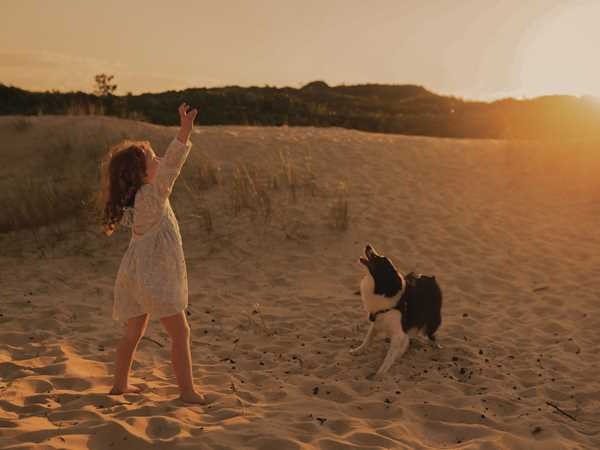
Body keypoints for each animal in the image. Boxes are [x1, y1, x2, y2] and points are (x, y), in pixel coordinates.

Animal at [350, 244, 442, 378]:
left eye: (379, 259)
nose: (368, 245)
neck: (382, 288)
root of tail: (431, 278)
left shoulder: (398, 333)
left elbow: (389, 357)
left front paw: (379, 373)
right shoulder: (377, 320)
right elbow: (368, 339)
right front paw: (358, 350)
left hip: (432, 318)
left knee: (431, 334)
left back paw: (435, 344)